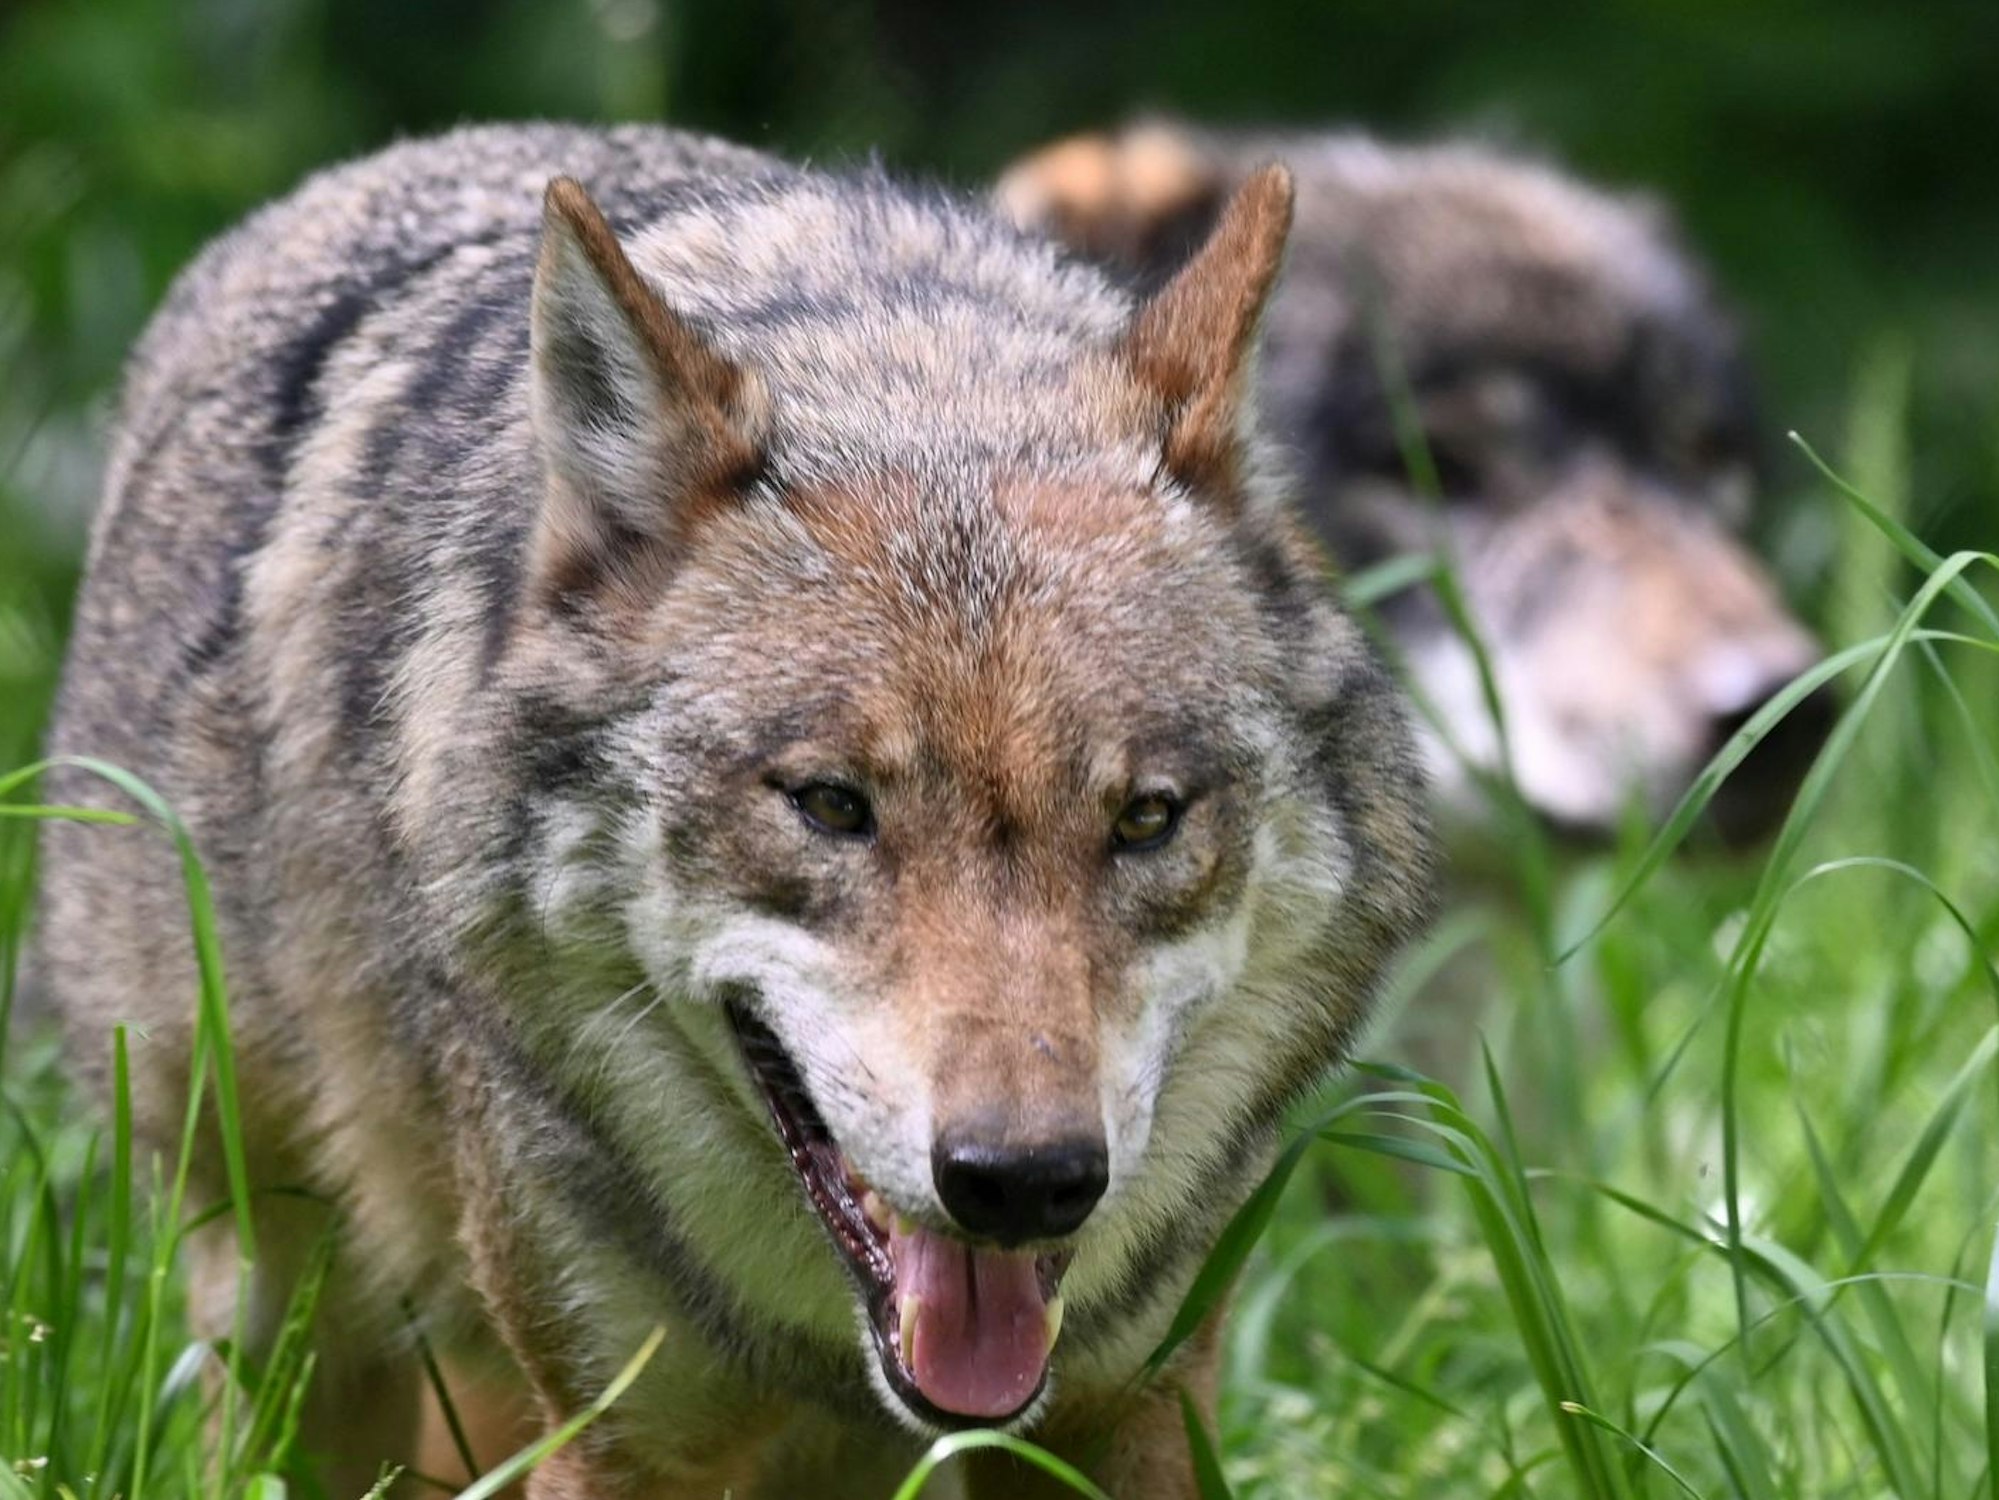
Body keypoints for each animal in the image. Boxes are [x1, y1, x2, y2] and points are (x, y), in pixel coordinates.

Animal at [37, 124, 1431, 1497]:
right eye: (831, 805)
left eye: (1145, 819)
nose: (1026, 1184)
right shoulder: (618, 1443)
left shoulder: (1125, 1407)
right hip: (290, 1323)